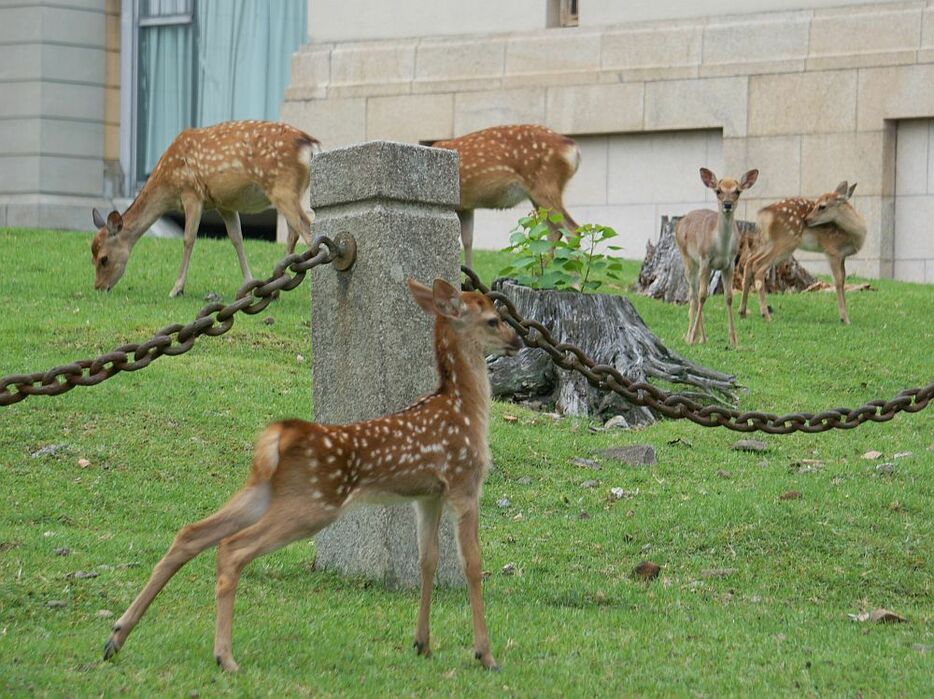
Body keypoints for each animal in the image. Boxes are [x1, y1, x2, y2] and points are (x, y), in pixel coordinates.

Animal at [93, 120, 322, 296]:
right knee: (294, 232)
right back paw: (276, 287)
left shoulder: (191, 193)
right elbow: (236, 238)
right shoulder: (224, 203)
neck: (167, 182)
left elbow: (188, 239)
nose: (99, 287)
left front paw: (177, 289)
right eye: (92, 256)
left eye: (104, 259)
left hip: (282, 187)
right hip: (289, 192)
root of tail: (312, 146)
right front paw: (248, 284)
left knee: (307, 229)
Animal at [103, 278, 528, 672]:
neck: (465, 409)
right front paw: (485, 654)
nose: (519, 340)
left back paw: (116, 637)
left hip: (262, 492)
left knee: (191, 533)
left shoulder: (427, 495)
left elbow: (428, 561)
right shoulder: (464, 482)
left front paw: (422, 643)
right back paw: (224, 656)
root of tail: (279, 434)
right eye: (493, 319)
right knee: (232, 548)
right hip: (313, 501)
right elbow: (472, 564)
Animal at [434, 123, 580, 268]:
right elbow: (467, 240)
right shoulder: (467, 207)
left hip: (545, 185)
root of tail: (574, 150)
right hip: (538, 195)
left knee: (572, 230)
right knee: (554, 231)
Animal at [676, 167, 764, 348]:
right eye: (718, 191)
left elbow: (728, 297)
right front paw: (692, 336)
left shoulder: (729, 264)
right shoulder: (705, 259)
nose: (727, 204)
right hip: (688, 259)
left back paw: (702, 337)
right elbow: (703, 296)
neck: (720, 247)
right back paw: (690, 336)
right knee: (693, 295)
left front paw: (734, 340)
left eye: (737, 191)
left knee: (696, 295)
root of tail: (680, 222)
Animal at [744, 179, 872, 324]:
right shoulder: (832, 251)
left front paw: (844, 316)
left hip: (768, 242)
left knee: (750, 261)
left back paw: (742, 312)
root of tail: (763, 214)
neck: (854, 234)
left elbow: (843, 281)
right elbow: (838, 282)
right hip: (786, 242)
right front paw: (845, 319)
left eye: (822, 206)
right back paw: (765, 315)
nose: (806, 219)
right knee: (759, 267)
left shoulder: (842, 256)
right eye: (815, 203)